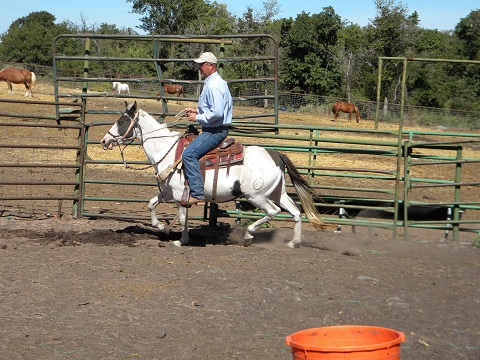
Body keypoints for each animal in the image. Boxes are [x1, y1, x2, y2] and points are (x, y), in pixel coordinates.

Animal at [101, 101, 326, 248]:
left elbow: (182, 218)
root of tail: (276, 154)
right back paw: (293, 242)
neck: (167, 150)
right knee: (296, 212)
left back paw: (248, 236)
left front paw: (181, 240)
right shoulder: (167, 192)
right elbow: (151, 204)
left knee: (273, 212)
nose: (104, 141)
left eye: (121, 121)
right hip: (278, 192)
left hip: (257, 196)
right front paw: (161, 227)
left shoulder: (179, 196)